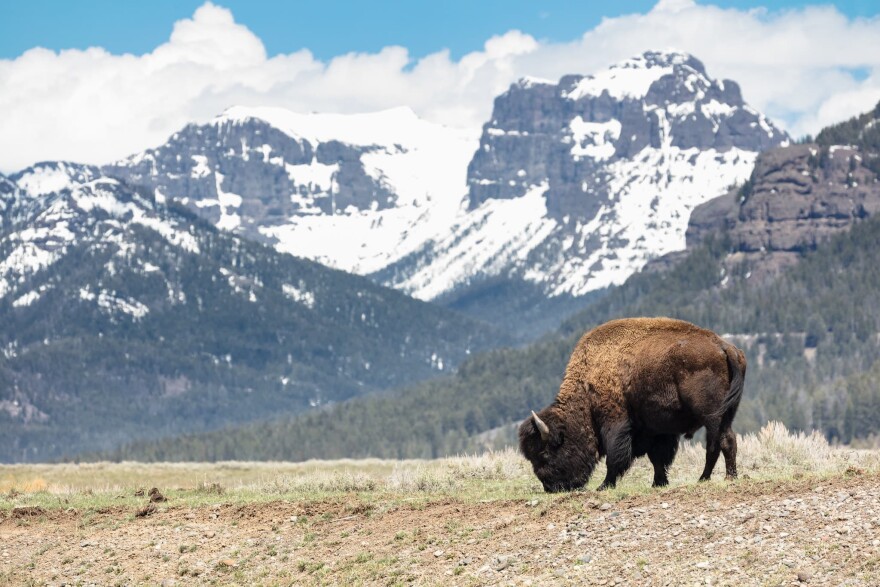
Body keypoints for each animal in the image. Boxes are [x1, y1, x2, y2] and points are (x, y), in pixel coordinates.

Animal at [520, 316, 744, 492]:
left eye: (544, 453)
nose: (550, 487)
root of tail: (724, 347)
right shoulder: (657, 429)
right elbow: (658, 458)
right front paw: (658, 483)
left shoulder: (615, 422)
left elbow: (615, 457)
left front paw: (604, 485)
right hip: (726, 414)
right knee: (724, 441)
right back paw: (715, 477)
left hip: (712, 416)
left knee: (719, 442)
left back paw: (714, 478)